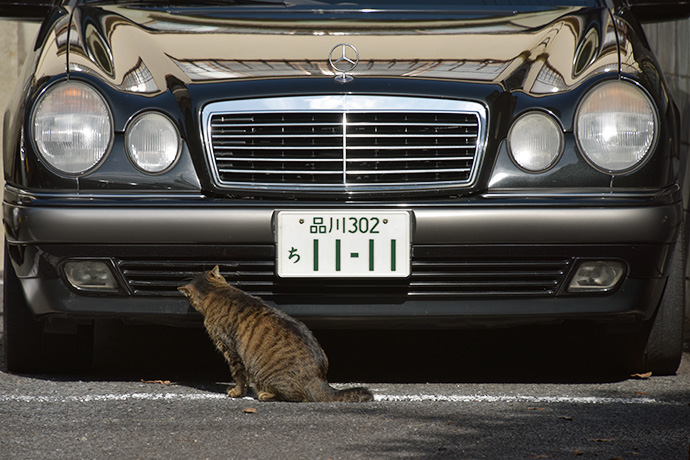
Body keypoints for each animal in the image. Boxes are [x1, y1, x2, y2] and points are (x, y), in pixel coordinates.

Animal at [177, 266, 370, 402]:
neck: (217, 292)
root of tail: (320, 379)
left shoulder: (231, 350)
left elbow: (238, 376)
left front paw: (236, 392)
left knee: (298, 397)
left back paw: (265, 395)